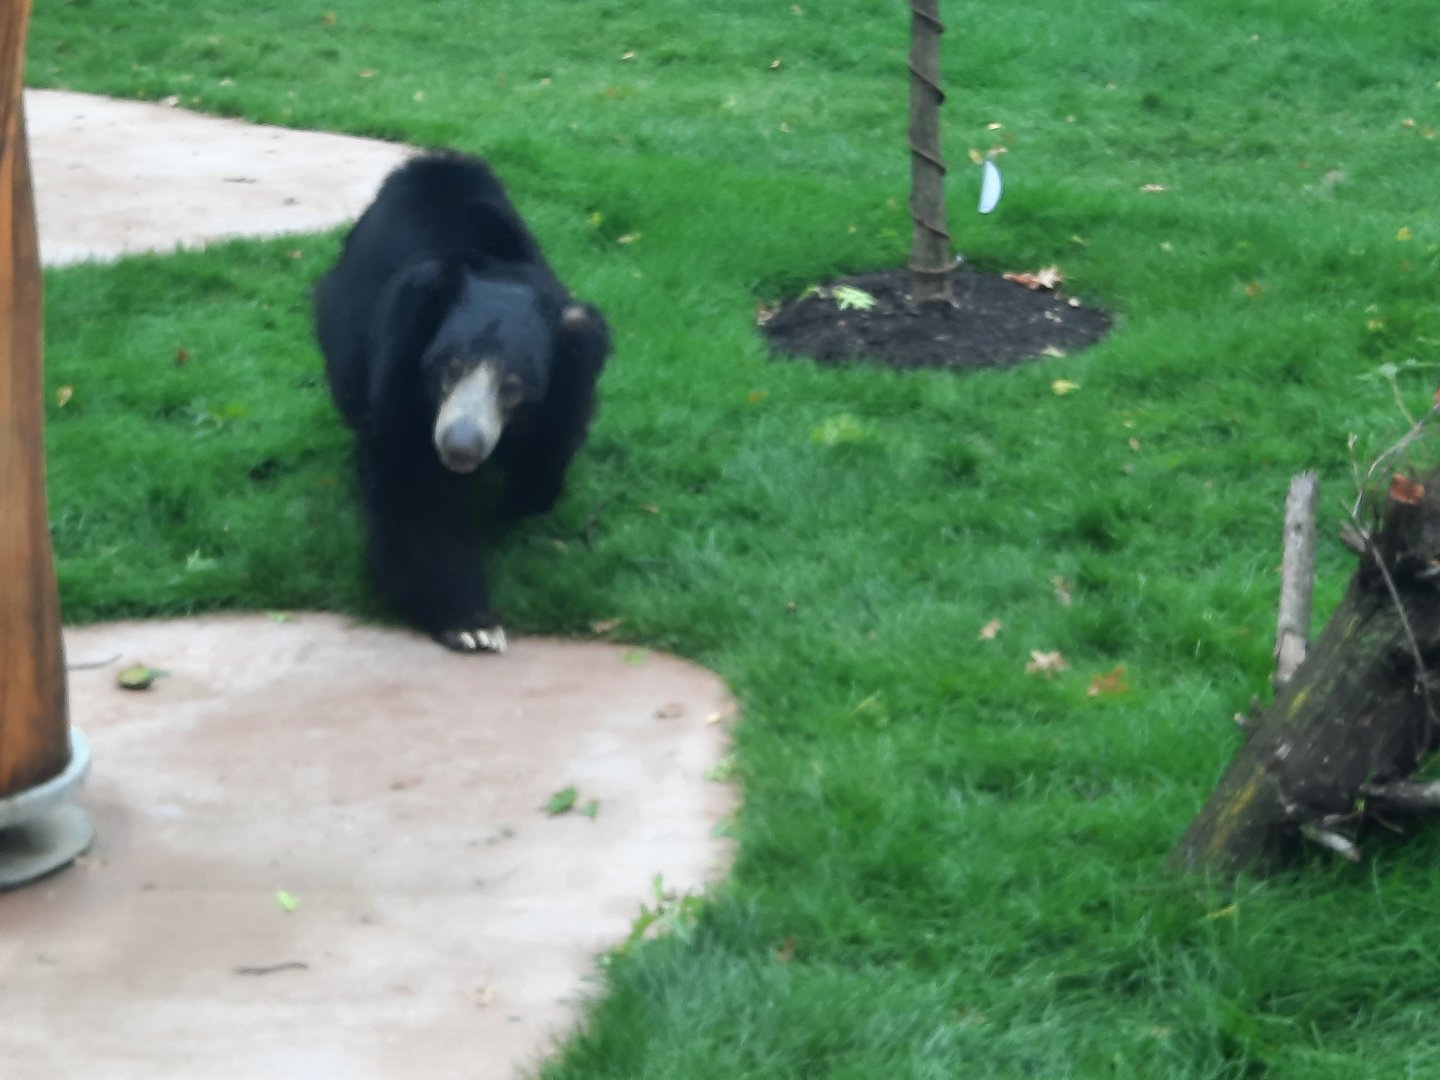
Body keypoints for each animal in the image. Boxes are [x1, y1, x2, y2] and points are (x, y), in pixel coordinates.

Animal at [314, 151, 611, 653]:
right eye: (449, 367)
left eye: (514, 386)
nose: (460, 446)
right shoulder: (400, 362)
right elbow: (413, 486)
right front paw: (474, 625)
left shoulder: (570, 375)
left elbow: (548, 450)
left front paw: (515, 505)